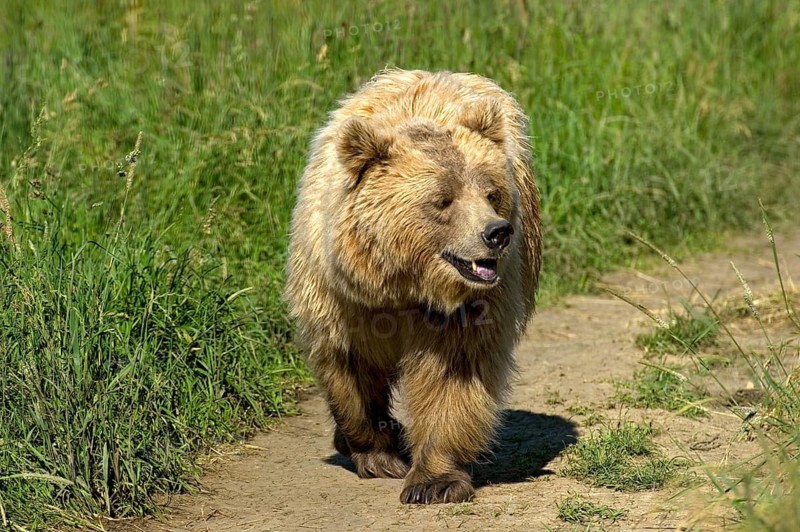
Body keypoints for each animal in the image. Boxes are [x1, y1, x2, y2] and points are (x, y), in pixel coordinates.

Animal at [284, 69, 542, 504]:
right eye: (443, 200)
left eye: (491, 193)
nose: (497, 233)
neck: (404, 283)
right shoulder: (341, 298)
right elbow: (350, 367)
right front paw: (378, 454)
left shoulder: (464, 310)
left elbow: (451, 377)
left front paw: (433, 482)